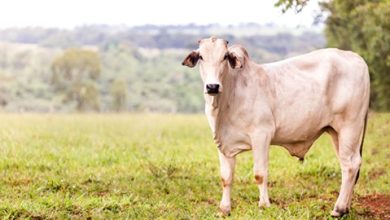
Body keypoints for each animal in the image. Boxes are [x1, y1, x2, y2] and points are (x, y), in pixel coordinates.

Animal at [181, 37, 370, 217]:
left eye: (225, 57)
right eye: (201, 57)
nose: (212, 86)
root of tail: (357, 58)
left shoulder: (262, 134)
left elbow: (260, 174)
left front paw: (264, 205)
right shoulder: (223, 143)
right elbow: (226, 177)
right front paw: (224, 209)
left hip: (350, 127)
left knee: (351, 164)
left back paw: (339, 209)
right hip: (336, 132)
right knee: (347, 165)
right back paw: (346, 207)